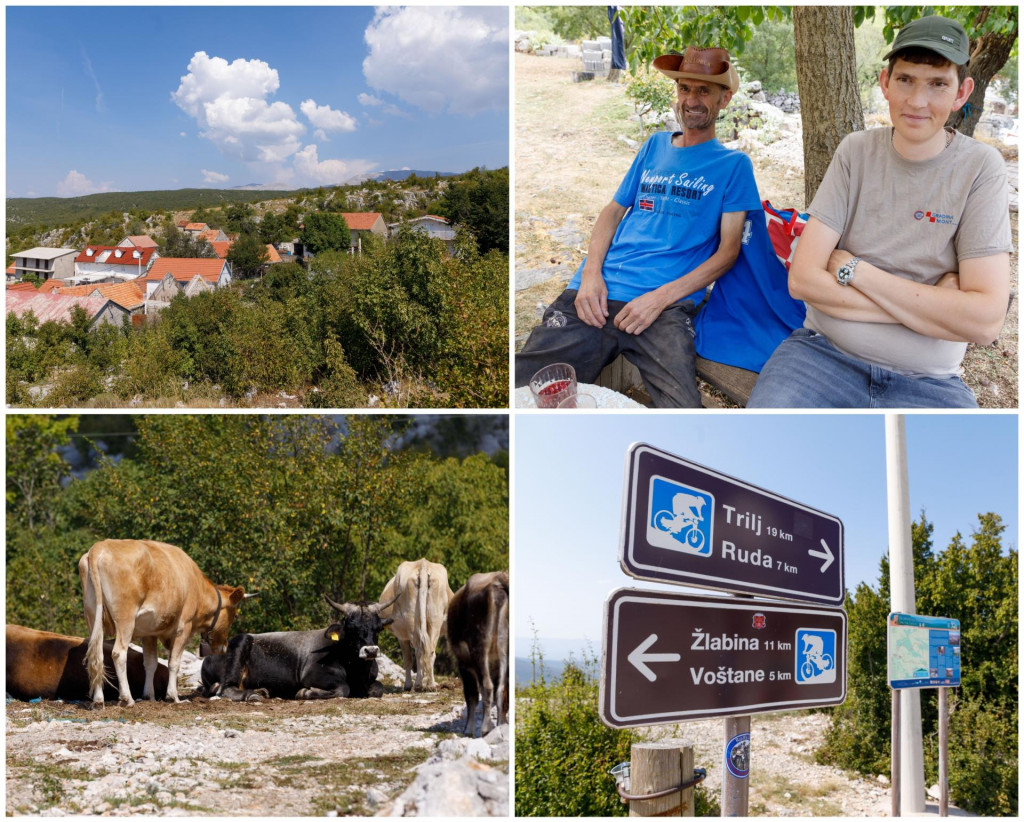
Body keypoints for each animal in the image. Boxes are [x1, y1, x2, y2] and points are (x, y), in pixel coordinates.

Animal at [79, 540, 253, 708]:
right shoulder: (184, 627)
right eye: (234, 615)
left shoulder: (149, 632)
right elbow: (174, 663)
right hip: (125, 618)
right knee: (118, 654)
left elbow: (151, 663)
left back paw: (98, 699)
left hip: (92, 616)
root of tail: (99, 547)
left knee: (97, 655)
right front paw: (174, 697)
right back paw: (127, 698)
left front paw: (149, 696)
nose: (223, 647)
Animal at [197, 589, 397, 700]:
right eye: (351, 628)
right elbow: (343, 688)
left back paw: (261, 691)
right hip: (241, 642)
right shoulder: (312, 675)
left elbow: (379, 689)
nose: (370, 650)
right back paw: (252, 695)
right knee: (226, 688)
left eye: (378, 628)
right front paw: (306, 693)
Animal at [378, 560, 454, 691]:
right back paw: (431, 685)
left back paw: (418, 685)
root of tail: (423, 564)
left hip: (411, 619)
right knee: (430, 651)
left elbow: (407, 659)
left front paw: (408, 685)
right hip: (435, 619)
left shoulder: (401, 636)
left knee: (419, 650)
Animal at [448, 573, 512, 741]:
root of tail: (498, 580)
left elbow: (472, 696)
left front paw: (468, 730)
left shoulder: (464, 664)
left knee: (488, 687)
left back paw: (485, 729)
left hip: (480, 649)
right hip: (503, 651)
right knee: (501, 690)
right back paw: (500, 727)